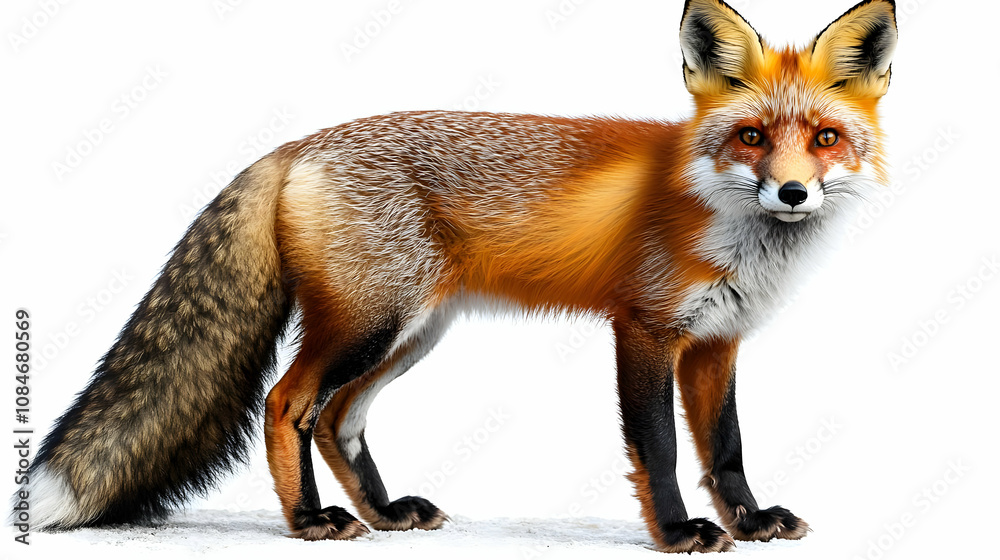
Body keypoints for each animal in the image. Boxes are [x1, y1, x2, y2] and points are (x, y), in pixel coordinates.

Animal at [17, 0, 896, 553]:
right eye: (752, 136)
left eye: (825, 138)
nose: (792, 193)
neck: (727, 227)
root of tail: (294, 145)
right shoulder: (644, 329)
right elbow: (663, 450)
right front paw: (679, 534)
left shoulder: (717, 341)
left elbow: (728, 449)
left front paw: (749, 523)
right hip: (369, 323)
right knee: (287, 404)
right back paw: (310, 521)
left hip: (410, 334)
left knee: (338, 419)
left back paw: (381, 512)